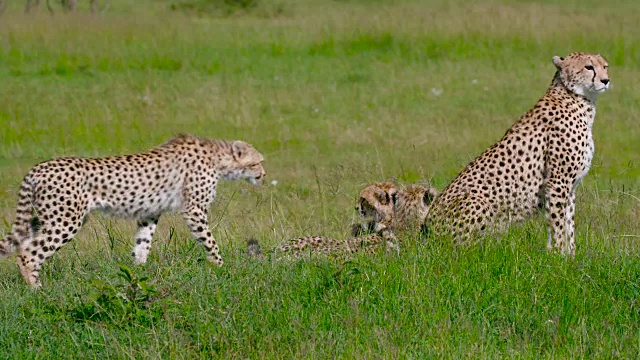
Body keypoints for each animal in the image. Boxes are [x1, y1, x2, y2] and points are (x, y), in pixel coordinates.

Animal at [0, 133, 264, 286]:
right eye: (257, 162)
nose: (263, 175)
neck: (219, 159)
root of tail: (38, 167)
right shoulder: (194, 210)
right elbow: (210, 242)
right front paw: (221, 268)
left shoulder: (149, 213)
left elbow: (142, 245)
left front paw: (137, 274)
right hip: (65, 221)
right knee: (27, 255)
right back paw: (37, 292)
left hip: (46, 217)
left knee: (23, 244)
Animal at [424, 52, 608, 256]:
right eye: (588, 67)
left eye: (605, 66)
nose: (606, 80)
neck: (578, 99)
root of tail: (427, 230)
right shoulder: (558, 181)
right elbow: (558, 223)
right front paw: (560, 255)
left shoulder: (569, 186)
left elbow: (567, 223)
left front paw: (568, 255)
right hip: (476, 202)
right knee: (465, 248)